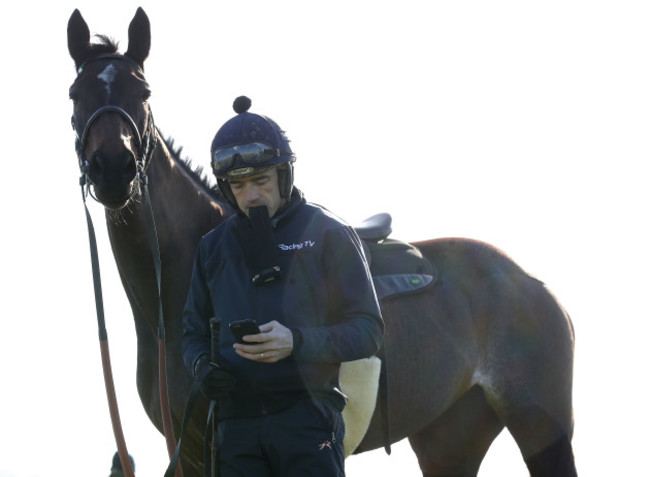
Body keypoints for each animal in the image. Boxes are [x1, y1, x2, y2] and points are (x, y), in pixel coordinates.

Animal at [66, 8, 576, 476]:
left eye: (144, 92)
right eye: (75, 94)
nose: (114, 169)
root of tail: (527, 280)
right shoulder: (191, 450)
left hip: (541, 429)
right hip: (449, 438)